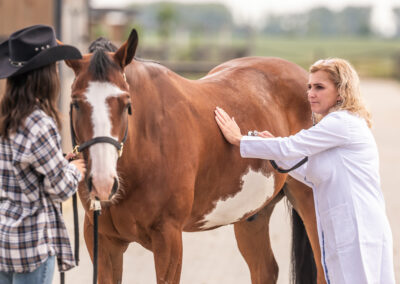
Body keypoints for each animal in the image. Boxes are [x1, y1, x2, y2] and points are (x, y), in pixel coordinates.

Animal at [65, 29, 326, 284]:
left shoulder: (168, 239)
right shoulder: (103, 241)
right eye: (75, 103)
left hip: (310, 205)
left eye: (126, 103)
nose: (102, 183)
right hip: (252, 215)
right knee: (265, 270)